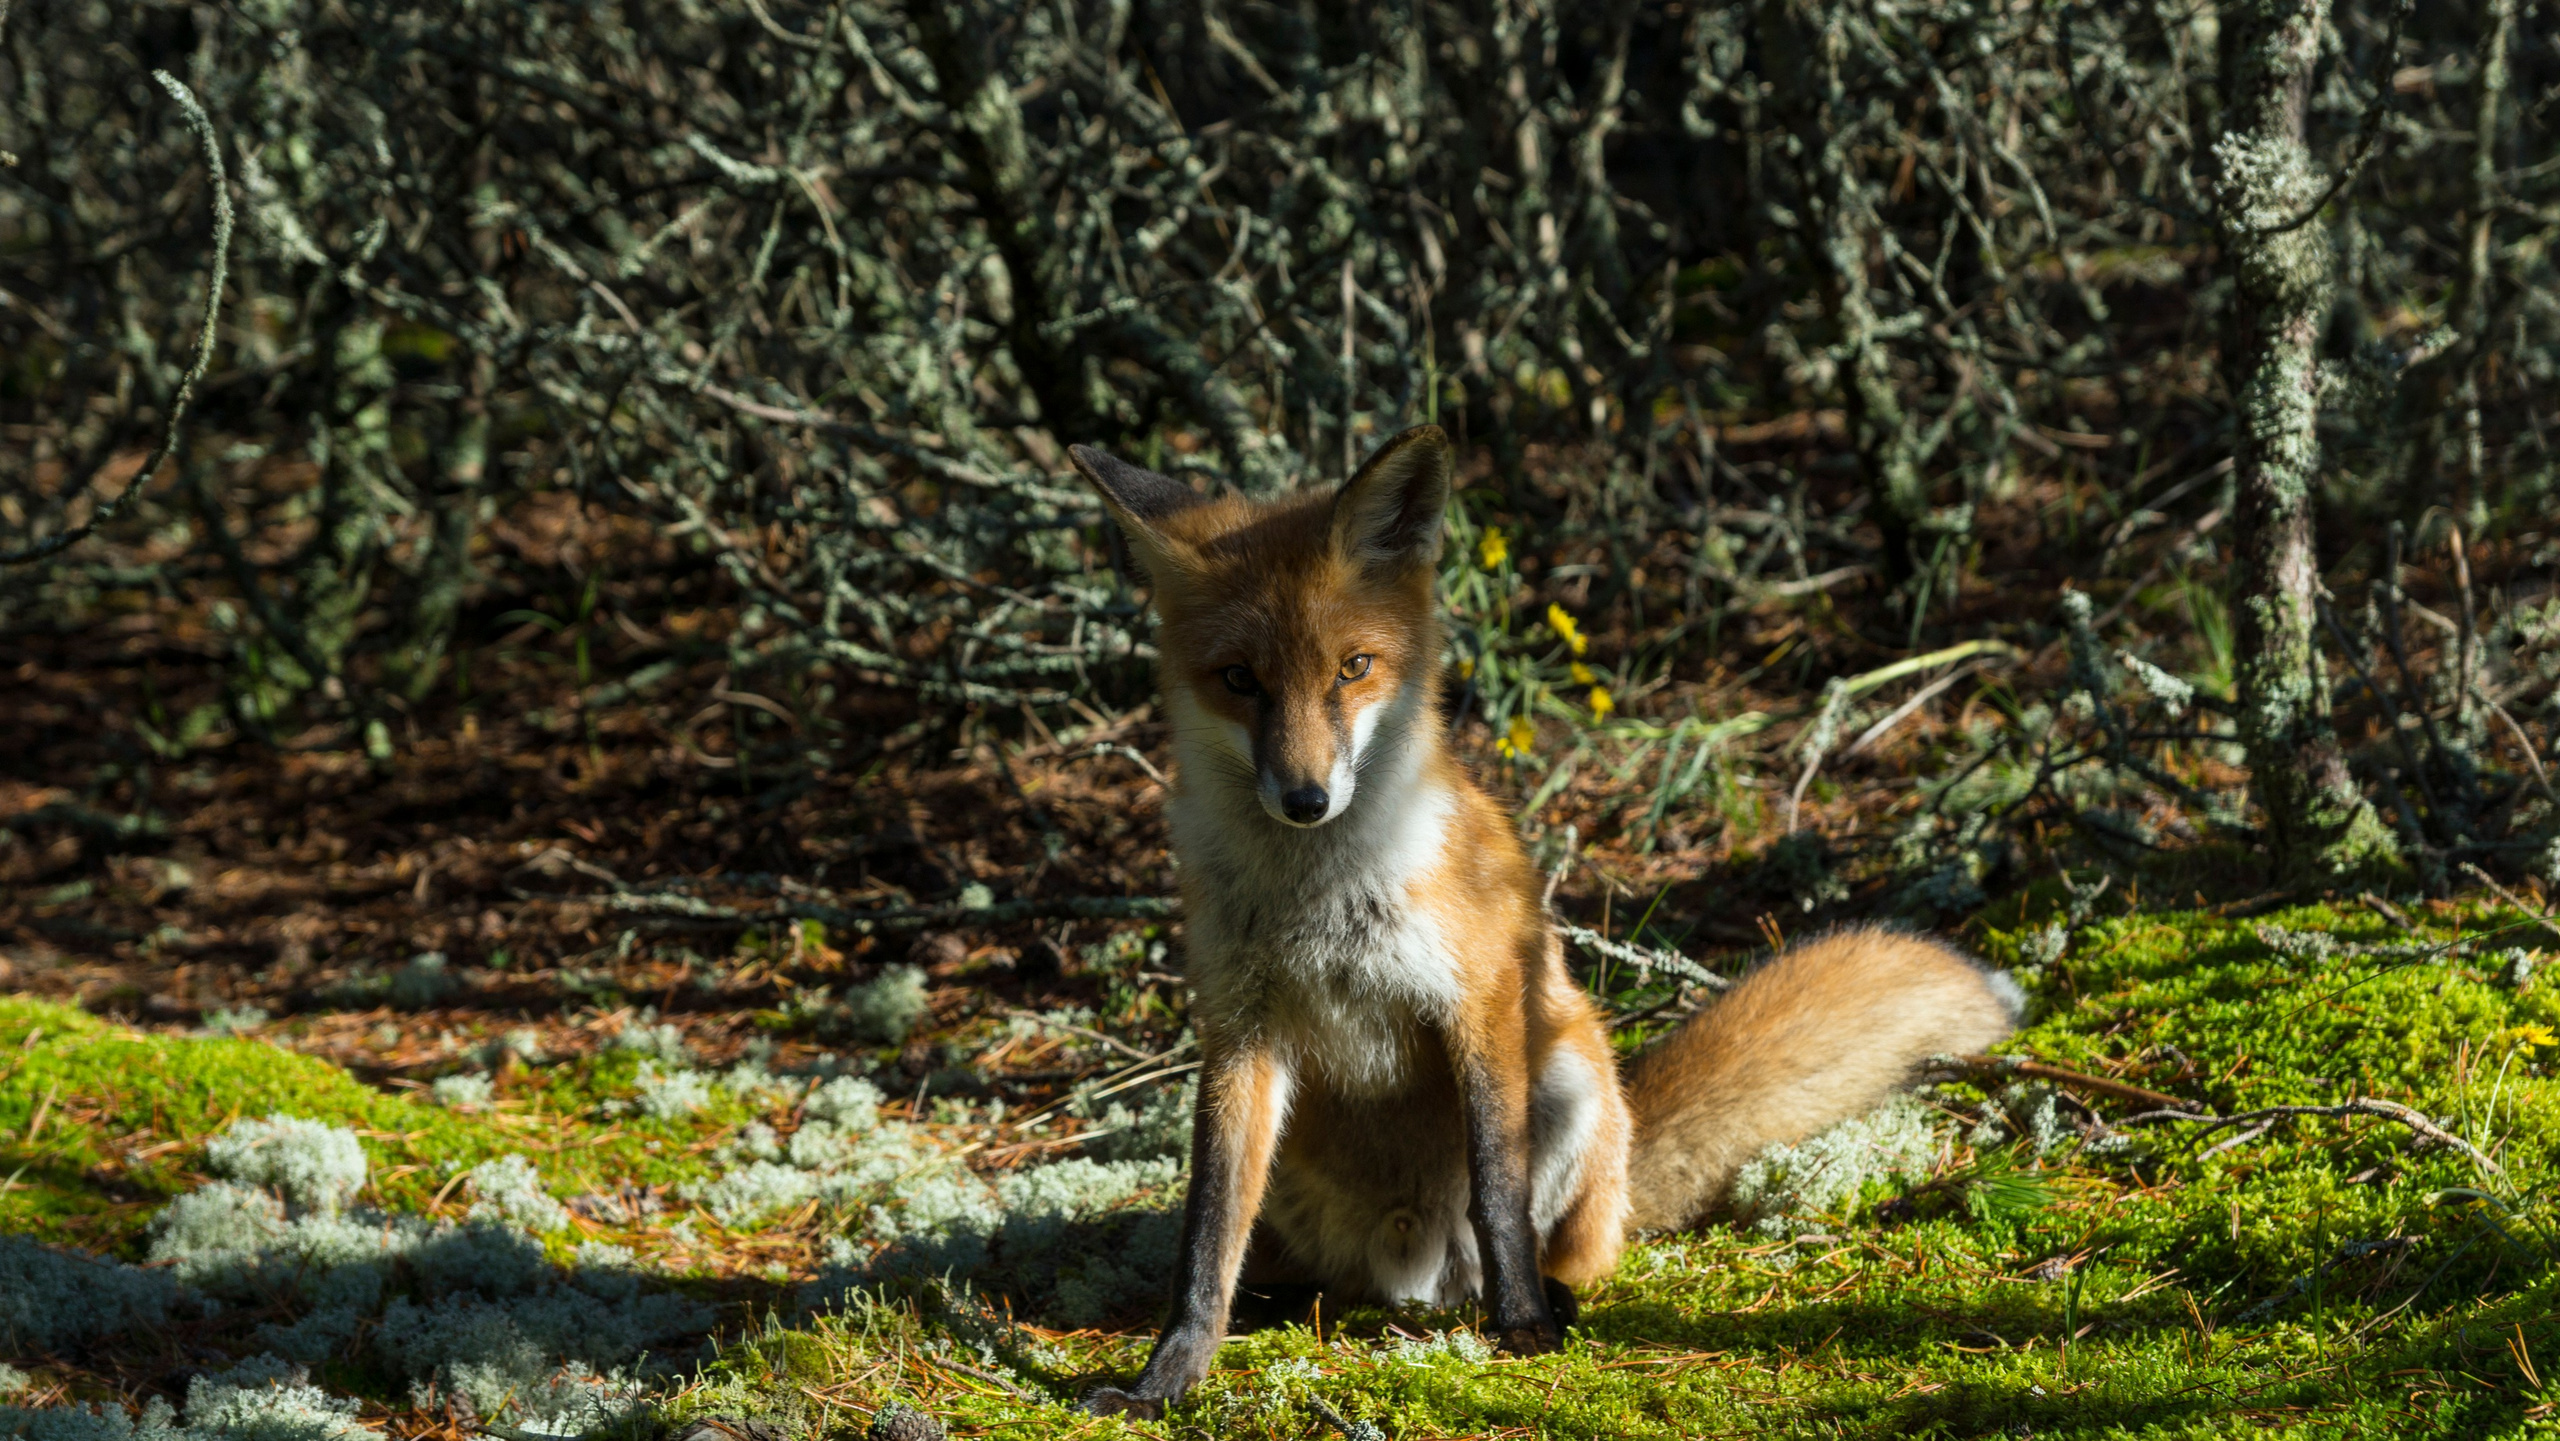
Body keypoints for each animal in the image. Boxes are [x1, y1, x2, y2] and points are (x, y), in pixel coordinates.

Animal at [1066, 425, 2021, 1417]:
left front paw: (1522, 1323)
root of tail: (1410, 1273)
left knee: (1555, 1246)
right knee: (1297, 1266)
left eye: (1353, 667)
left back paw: (1542, 1297)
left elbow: (1498, 1189)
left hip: (1565, 1076)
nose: (1305, 799)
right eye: (1239, 680)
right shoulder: (1239, 1030)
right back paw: (1290, 1300)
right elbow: (1206, 1232)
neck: (1319, 899)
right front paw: (1168, 1375)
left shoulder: (1477, 992)